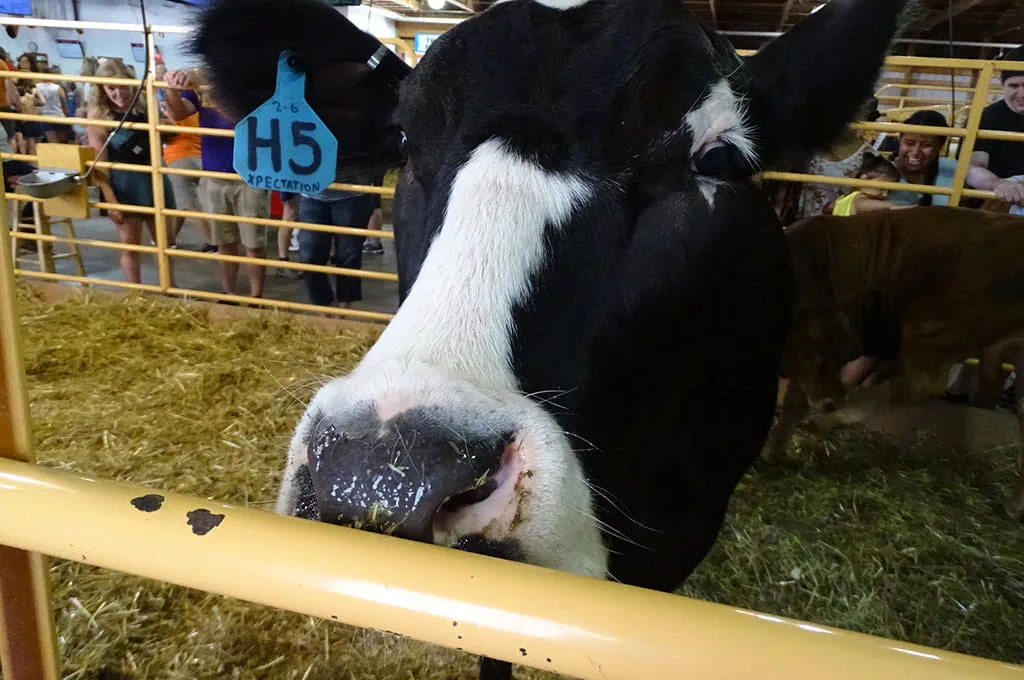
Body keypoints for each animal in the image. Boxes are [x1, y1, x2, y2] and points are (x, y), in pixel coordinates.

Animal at [763, 206, 1024, 520]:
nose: (829, 402)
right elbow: (796, 398)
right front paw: (772, 451)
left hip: (934, 327)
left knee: (916, 384)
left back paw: (832, 418)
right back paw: (1015, 506)